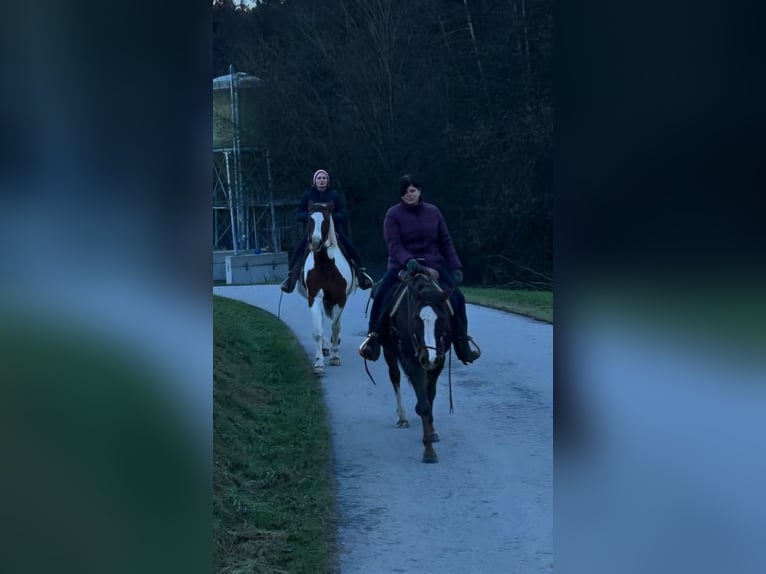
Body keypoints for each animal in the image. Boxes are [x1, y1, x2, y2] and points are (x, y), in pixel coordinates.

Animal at [298, 204, 362, 378]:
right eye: (309, 219)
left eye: (326, 220)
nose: (315, 242)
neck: (325, 265)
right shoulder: (314, 297)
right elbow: (318, 330)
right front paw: (319, 363)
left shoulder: (340, 299)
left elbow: (335, 327)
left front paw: (335, 356)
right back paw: (326, 347)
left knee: (335, 324)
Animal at [380, 270, 452, 464]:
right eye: (416, 319)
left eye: (441, 319)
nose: (429, 357)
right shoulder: (411, 361)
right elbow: (424, 402)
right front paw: (429, 450)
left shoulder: (438, 362)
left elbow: (429, 396)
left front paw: (432, 432)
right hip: (390, 354)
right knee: (395, 377)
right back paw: (402, 418)